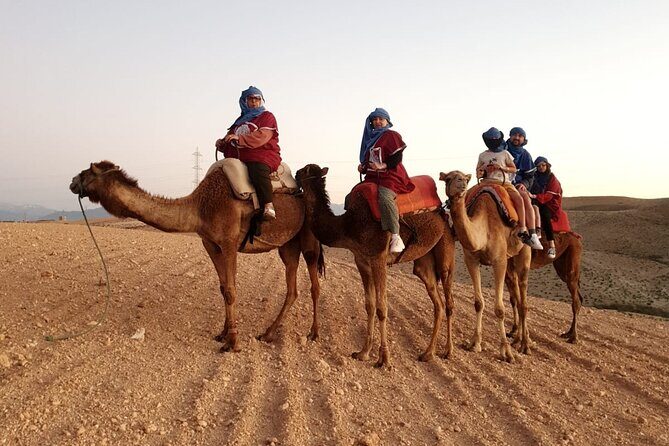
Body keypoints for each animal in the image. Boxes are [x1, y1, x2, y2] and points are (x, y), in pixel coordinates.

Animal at [69, 161, 324, 352]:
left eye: (87, 171)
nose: (72, 182)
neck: (200, 207)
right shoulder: (210, 243)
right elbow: (223, 288)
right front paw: (223, 334)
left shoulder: (229, 241)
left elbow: (231, 290)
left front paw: (233, 342)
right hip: (288, 245)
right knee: (292, 289)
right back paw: (269, 334)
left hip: (309, 238)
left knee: (314, 284)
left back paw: (313, 333)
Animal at [295, 164, 455, 367]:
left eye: (306, 170)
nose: (296, 174)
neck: (348, 225)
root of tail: (443, 212)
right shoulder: (361, 261)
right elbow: (369, 305)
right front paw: (363, 352)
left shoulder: (378, 258)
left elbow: (381, 308)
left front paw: (384, 358)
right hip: (424, 262)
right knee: (438, 303)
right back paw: (427, 353)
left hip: (445, 247)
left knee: (448, 301)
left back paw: (448, 351)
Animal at [440, 170, 531, 362]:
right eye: (448, 177)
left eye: (465, 178)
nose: (462, 183)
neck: (484, 228)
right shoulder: (471, 260)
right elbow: (478, 303)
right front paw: (475, 343)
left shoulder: (499, 261)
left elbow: (499, 309)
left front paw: (506, 352)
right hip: (511, 259)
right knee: (517, 294)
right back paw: (517, 338)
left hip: (524, 252)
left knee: (523, 297)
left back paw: (525, 345)